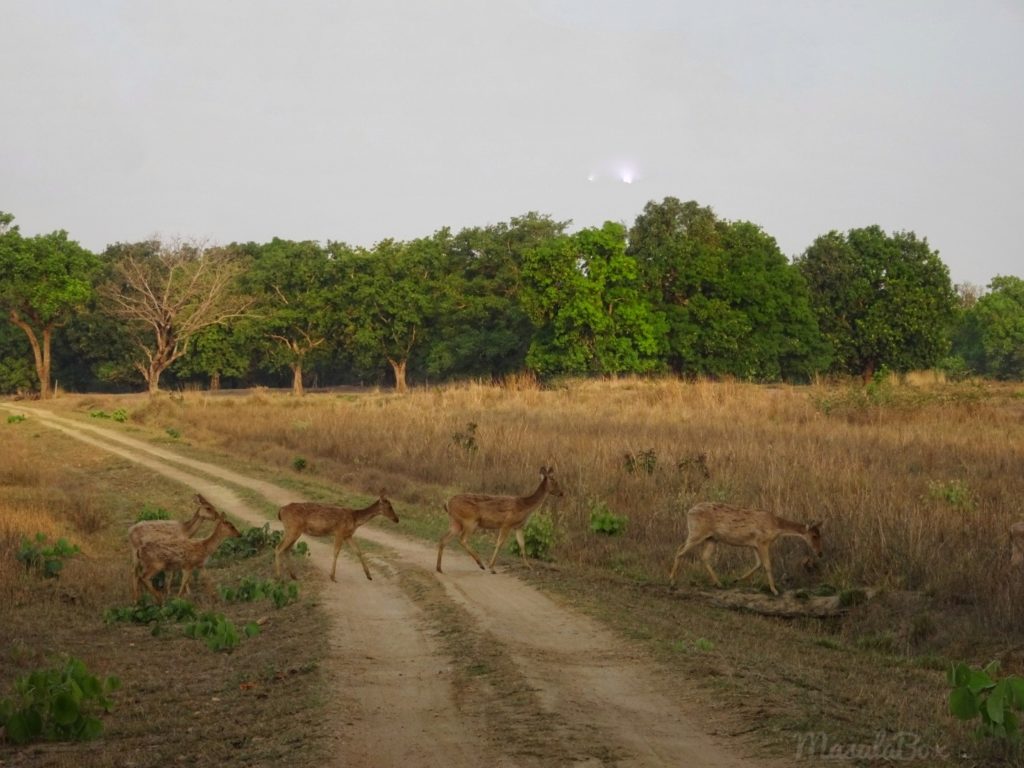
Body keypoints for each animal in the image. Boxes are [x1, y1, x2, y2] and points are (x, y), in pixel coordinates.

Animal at [669, 501, 823, 596]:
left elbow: (758, 563)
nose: (820, 553)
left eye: (820, 534)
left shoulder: (754, 544)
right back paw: (672, 581)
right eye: (814, 535)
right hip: (697, 532)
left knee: (704, 557)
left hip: (711, 538)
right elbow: (767, 565)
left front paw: (736, 580)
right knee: (680, 550)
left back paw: (719, 583)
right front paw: (774, 590)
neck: (776, 528)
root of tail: (689, 511)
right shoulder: (763, 542)